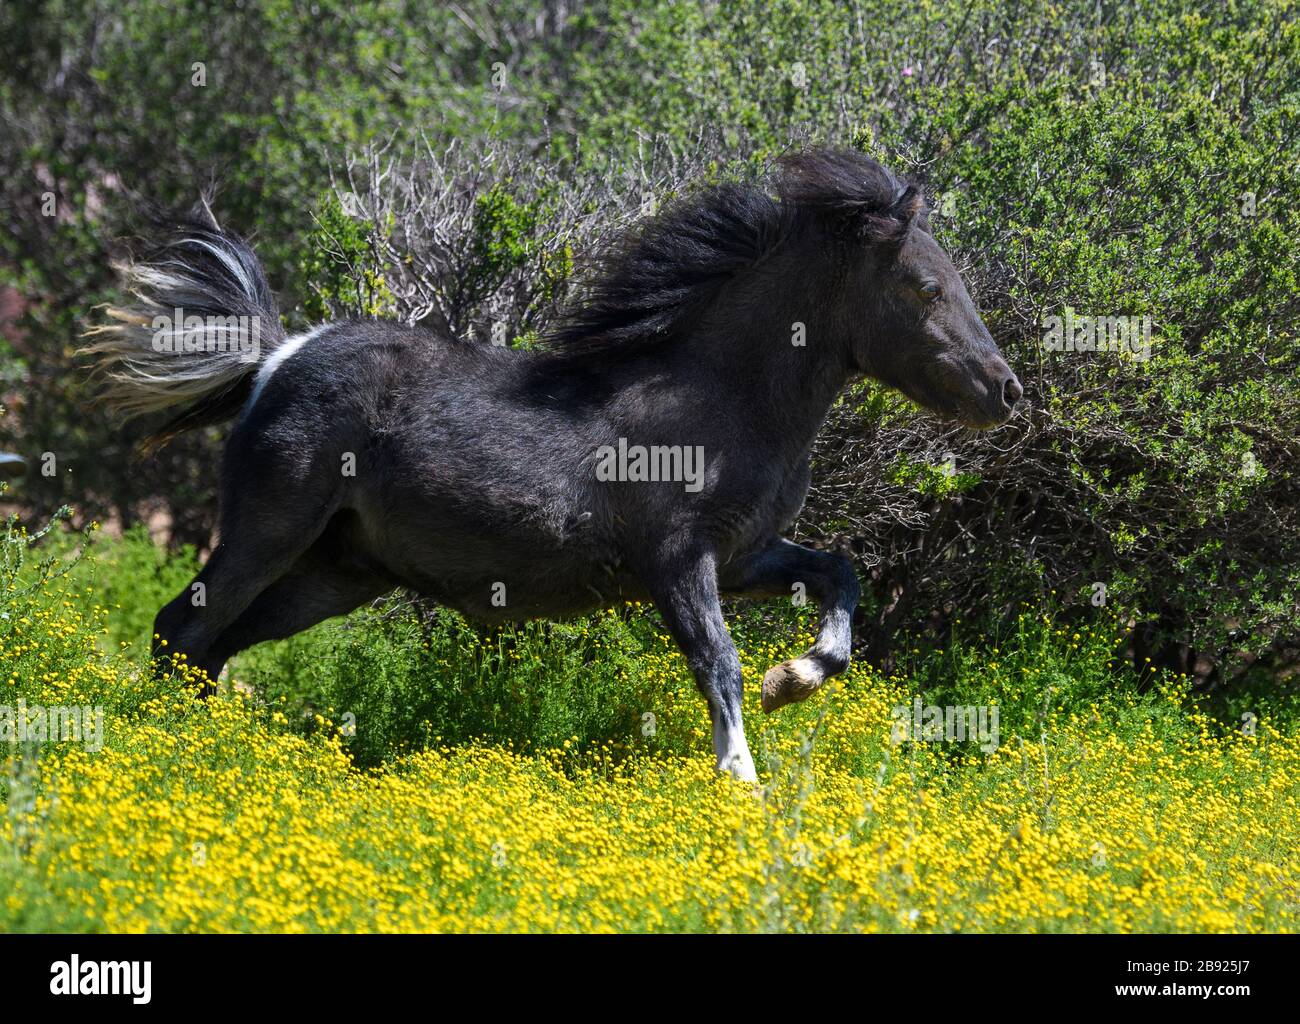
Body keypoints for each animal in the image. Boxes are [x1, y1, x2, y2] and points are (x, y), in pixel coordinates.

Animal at [86, 148, 1019, 779]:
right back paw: (165, 750)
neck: (716, 398)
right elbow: (716, 662)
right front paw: (741, 783)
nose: (1004, 390)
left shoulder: (744, 555)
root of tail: (275, 358)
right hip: (269, 531)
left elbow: (839, 576)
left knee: (214, 646)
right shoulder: (675, 558)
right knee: (182, 627)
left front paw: (795, 679)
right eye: (926, 288)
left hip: (336, 570)